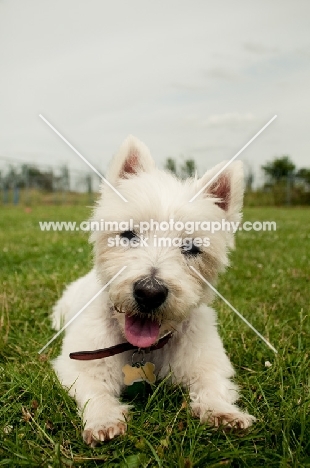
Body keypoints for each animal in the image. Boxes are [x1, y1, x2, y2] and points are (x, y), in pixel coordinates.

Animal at [51, 136, 254, 446]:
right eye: (128, 235)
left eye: (192, 247)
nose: (149, 293)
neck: (142, 348)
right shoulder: (82, 365)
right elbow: (95, 392)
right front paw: (103, 420)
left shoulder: (207, 361)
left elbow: (213, 385)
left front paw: (223, 412)